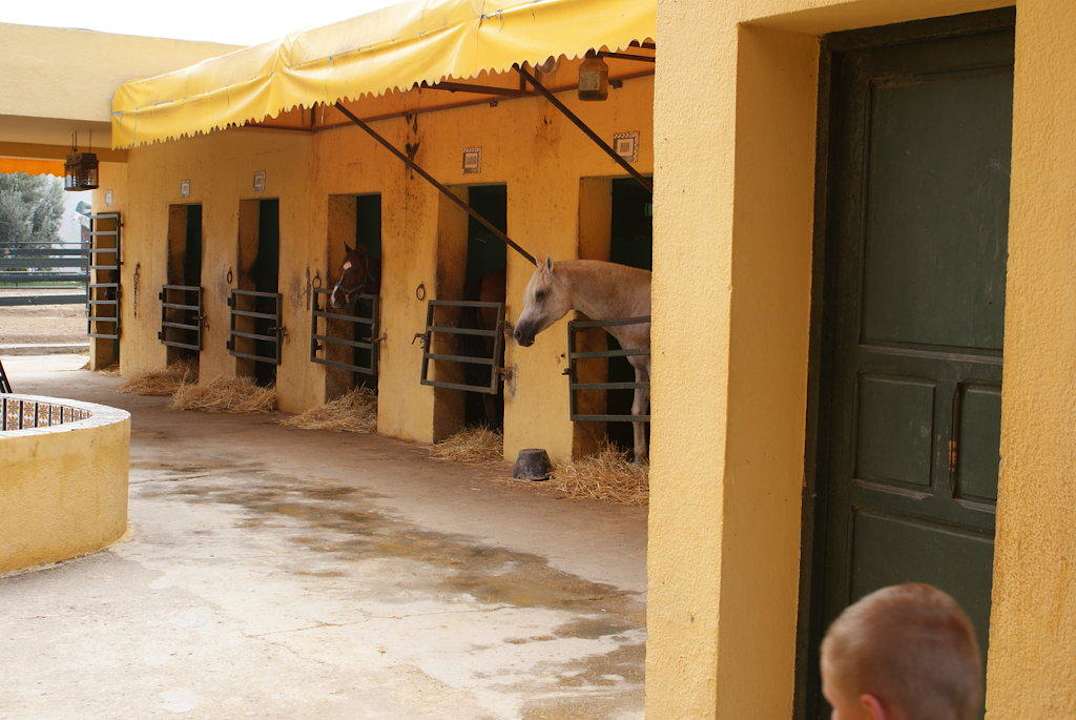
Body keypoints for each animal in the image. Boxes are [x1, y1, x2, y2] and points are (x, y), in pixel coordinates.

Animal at [514, 257, 651, 463]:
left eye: (539, 294)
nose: (519, 334)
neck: (633, 303)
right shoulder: (640, 367)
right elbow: (637, 411)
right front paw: (639, 459)